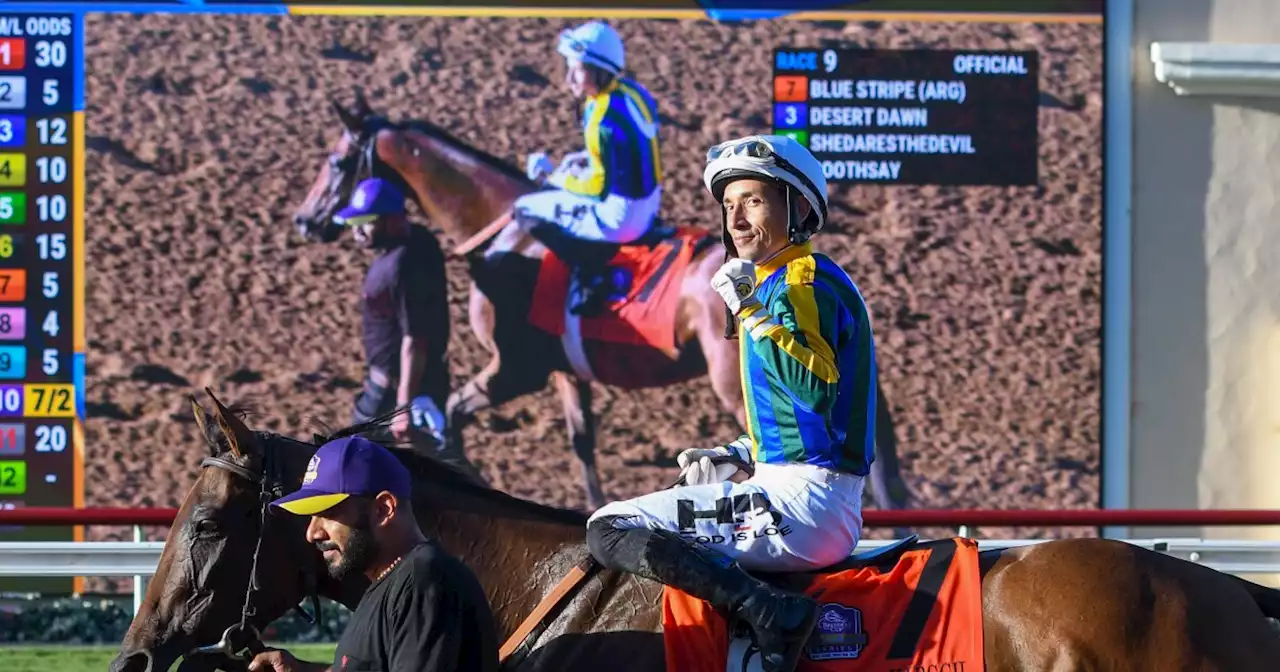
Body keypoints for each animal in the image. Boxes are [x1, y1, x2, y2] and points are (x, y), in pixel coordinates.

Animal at [288, 90, 911, 514]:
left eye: (336, 162)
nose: (304, 219)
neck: (507, 230)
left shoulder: (513, 369)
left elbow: (454, 418)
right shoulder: (566, 373)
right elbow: (581, 442)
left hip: (732, 383)